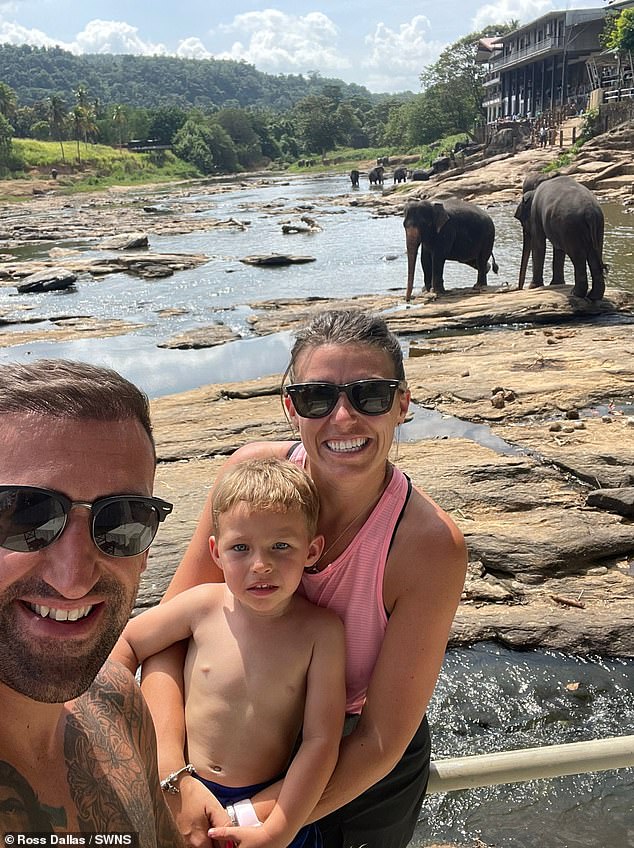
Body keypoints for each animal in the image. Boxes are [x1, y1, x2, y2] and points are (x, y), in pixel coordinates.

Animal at [512, 173, 604, 302]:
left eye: (521, 221)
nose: (520, 289)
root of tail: (590, 213)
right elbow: (558, 249)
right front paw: (556, 284)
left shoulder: (536, 215)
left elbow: (539, 244)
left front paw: (534, 286)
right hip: (596, 227)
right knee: (594, 256)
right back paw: (594, 296)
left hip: (571, 227)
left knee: (578, 258)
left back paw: (575, 293)